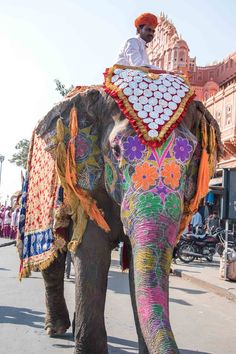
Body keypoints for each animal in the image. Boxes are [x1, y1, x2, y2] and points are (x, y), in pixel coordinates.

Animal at [17, 64, 222, 354]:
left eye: (192, 152)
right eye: (116, 150)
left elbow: (142, 263)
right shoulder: (88, 190)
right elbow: (91, 252)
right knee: (53, 256)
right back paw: (55, 329)